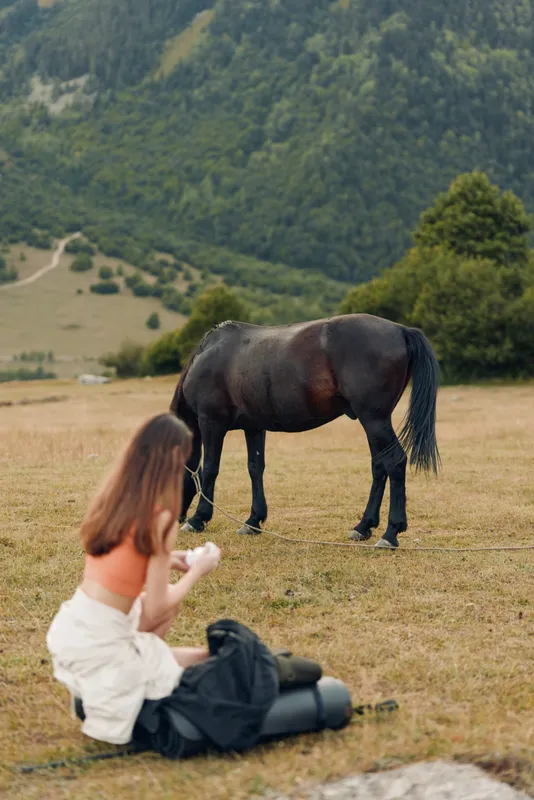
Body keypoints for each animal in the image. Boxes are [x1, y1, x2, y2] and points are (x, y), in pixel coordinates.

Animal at [170, 313, 440, 549]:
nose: (176, 518)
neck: (210, 354)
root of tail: (401, 330)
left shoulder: (211, 422)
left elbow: (209, 469)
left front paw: (198, 519)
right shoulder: (254, 427)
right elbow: (255, 469)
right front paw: (253, 521)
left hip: (374, 419)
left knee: (395, 462)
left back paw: (390, 533)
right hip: (374, 422)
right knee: (379, 466)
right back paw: (363, 526)